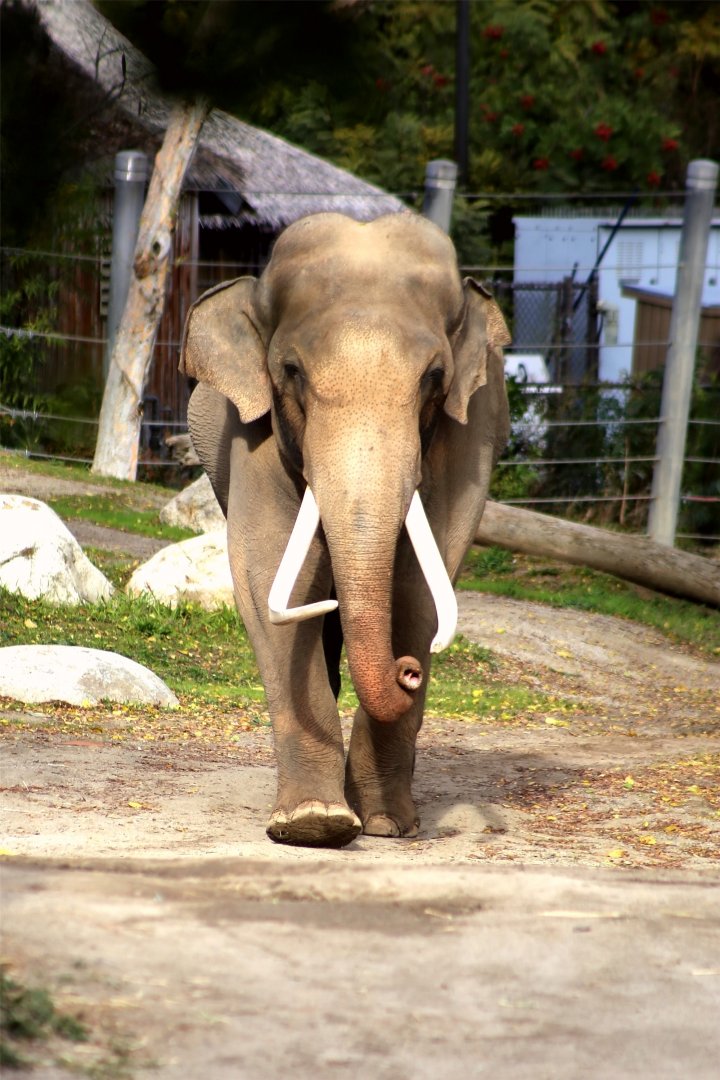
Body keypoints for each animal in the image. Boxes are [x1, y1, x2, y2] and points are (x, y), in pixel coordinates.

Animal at [180, 211, 510, 849]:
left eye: (435, 377)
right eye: (291, 372)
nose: (408, 671)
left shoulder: (469, 438)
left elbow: (418, 590)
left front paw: (386, 825)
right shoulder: (252, 432)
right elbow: (268, 576)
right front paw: (314, 824)